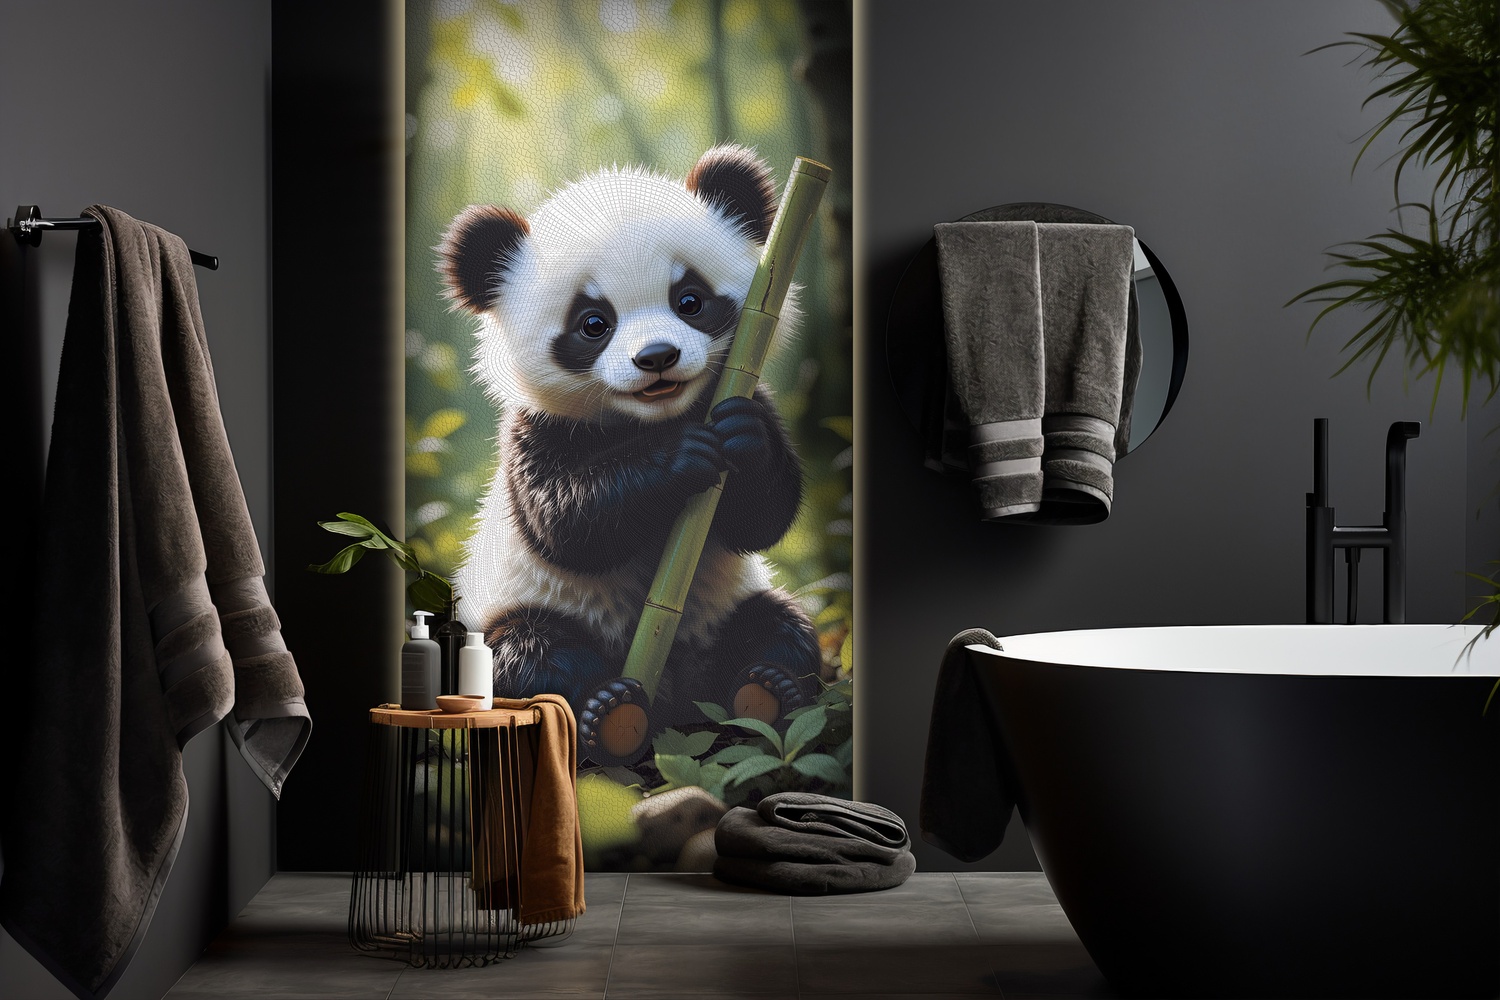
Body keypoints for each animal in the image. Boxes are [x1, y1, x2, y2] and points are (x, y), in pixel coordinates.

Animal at [438, 144, 822, 758]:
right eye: (593, 323)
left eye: (689, 300)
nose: (657, 357)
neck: (650, 418)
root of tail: (672, 696)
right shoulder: (536, 432)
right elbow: (568, 524)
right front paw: (679, 457)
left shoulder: (742, 391)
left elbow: (761, 519)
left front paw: (745, 442)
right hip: (514, 612)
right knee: (530, 658)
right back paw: (607, 710)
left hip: (723, 607)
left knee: (779, 627)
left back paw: (767, 690)